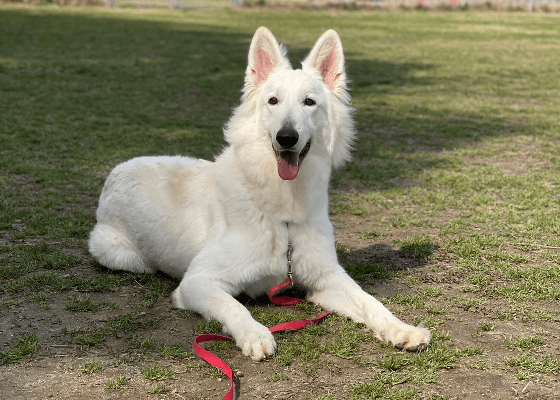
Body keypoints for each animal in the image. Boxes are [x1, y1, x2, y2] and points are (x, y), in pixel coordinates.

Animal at [87, 27, 430, 360]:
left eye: (309, 102)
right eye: (273, 101)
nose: (287, 137)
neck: (283, 211)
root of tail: (117, 170)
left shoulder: (325, 277)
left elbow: (369, 300)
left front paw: (401, 328)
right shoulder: (198, 281)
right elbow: (234, 306)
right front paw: (254, 334)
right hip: (123, 256)